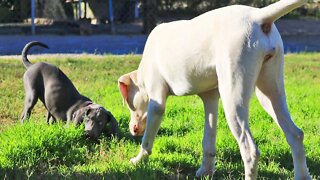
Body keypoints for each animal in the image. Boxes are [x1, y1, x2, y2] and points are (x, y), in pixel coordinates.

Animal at [117, 0, 310, 179]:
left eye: (129, 104)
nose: (132, 129)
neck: (142, 75)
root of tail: (258, 16)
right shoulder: (210, 99)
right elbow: (208, 141)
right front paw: (205, 171)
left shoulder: (157, 102)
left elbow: (147, 140)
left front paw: (138, 160)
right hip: (269, 93)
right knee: (296, 134)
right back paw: (302, 174)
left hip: (233, 98)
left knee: (250, 150)